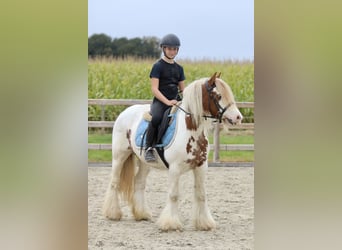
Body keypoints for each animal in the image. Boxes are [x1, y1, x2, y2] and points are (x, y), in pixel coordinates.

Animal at [103, 72, 242, 230]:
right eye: (217, 95)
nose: (238, 117)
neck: (191, 130)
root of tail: (125, 112)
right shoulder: (174, 169)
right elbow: (174, 195)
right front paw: (170, 224)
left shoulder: (201, 167)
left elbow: (201, 194)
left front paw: (204, 223)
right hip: (119, 157)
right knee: (114, 182)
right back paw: (113, 213)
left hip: (144, 162)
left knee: (139, 183)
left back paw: (142, 214)